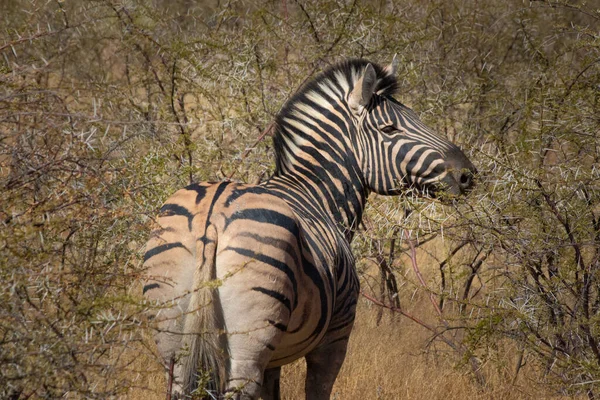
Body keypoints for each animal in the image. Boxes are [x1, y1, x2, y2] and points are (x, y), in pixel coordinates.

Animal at [143, 57, 476, 400]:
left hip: (172, 333)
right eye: (389, 129)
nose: (468, 174)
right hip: (249, 340)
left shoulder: (273, 360)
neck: (317, 193)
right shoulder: (335, 337)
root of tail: (213, 214)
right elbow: (318, 390)